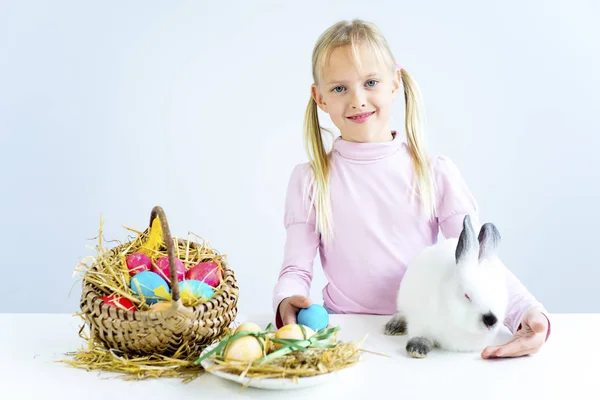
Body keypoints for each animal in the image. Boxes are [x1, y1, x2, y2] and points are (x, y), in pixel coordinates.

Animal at [386, 214, 508, 358]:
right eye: (467, 295)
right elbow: (420, 334)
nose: (491, 320)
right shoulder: (420, 321)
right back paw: (393, 326)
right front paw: (416, 349)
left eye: (500, 294)